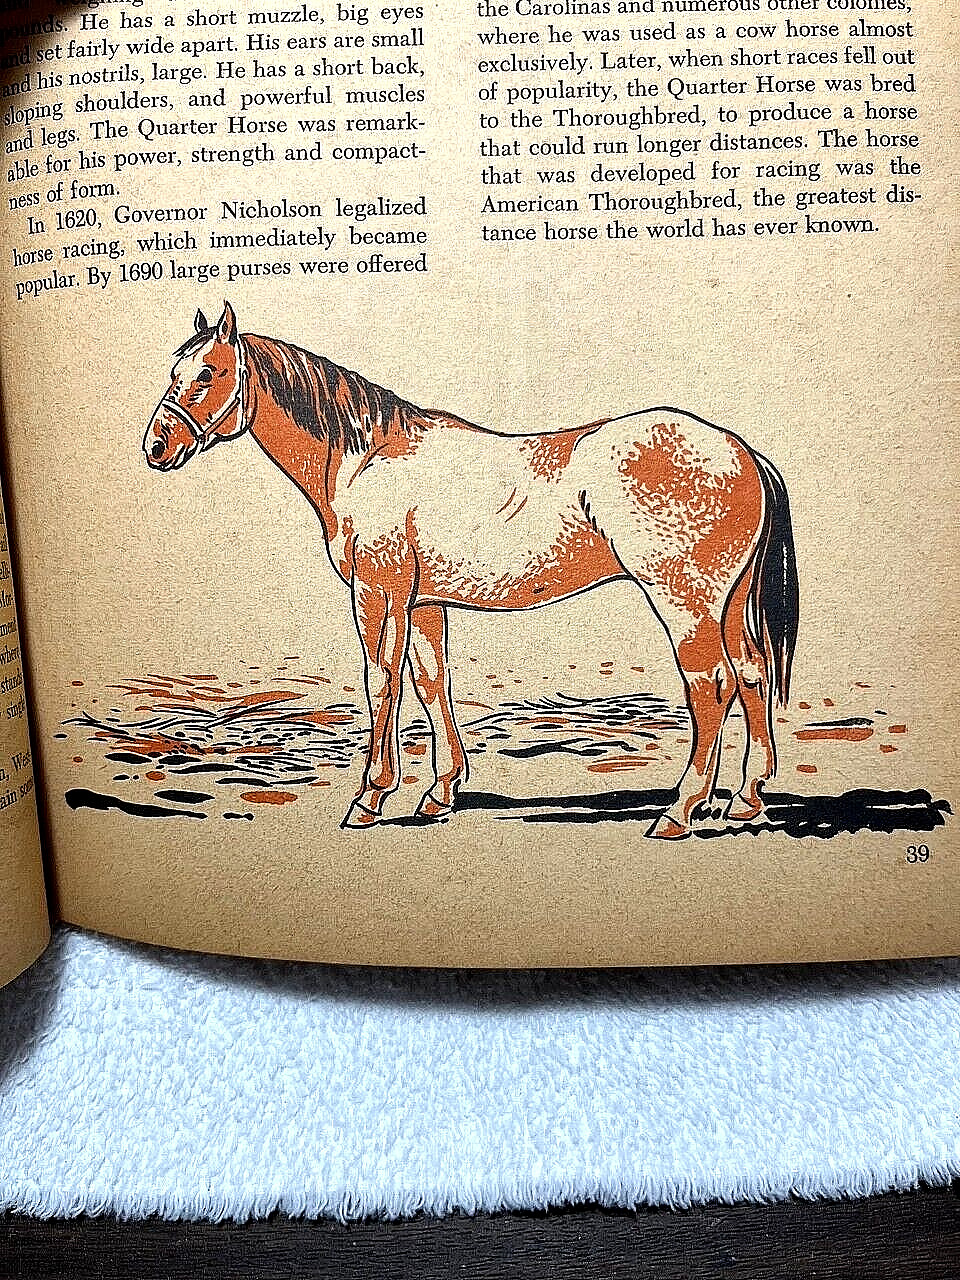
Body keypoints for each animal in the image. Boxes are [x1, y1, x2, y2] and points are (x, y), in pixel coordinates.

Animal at [143, 302, 799, 838]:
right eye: (174, 371)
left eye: (207, 373)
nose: (155, 446)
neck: (367, 458)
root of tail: (741, 451)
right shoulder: (423, 603)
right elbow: (432, 683)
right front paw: (439, 792)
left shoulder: (378, 594)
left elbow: (382, 682)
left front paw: (370, 797)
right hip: (727, 604)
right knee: (752, 674)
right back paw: (746, 799)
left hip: (684, 601)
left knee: (710, 685)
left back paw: (680, 810)